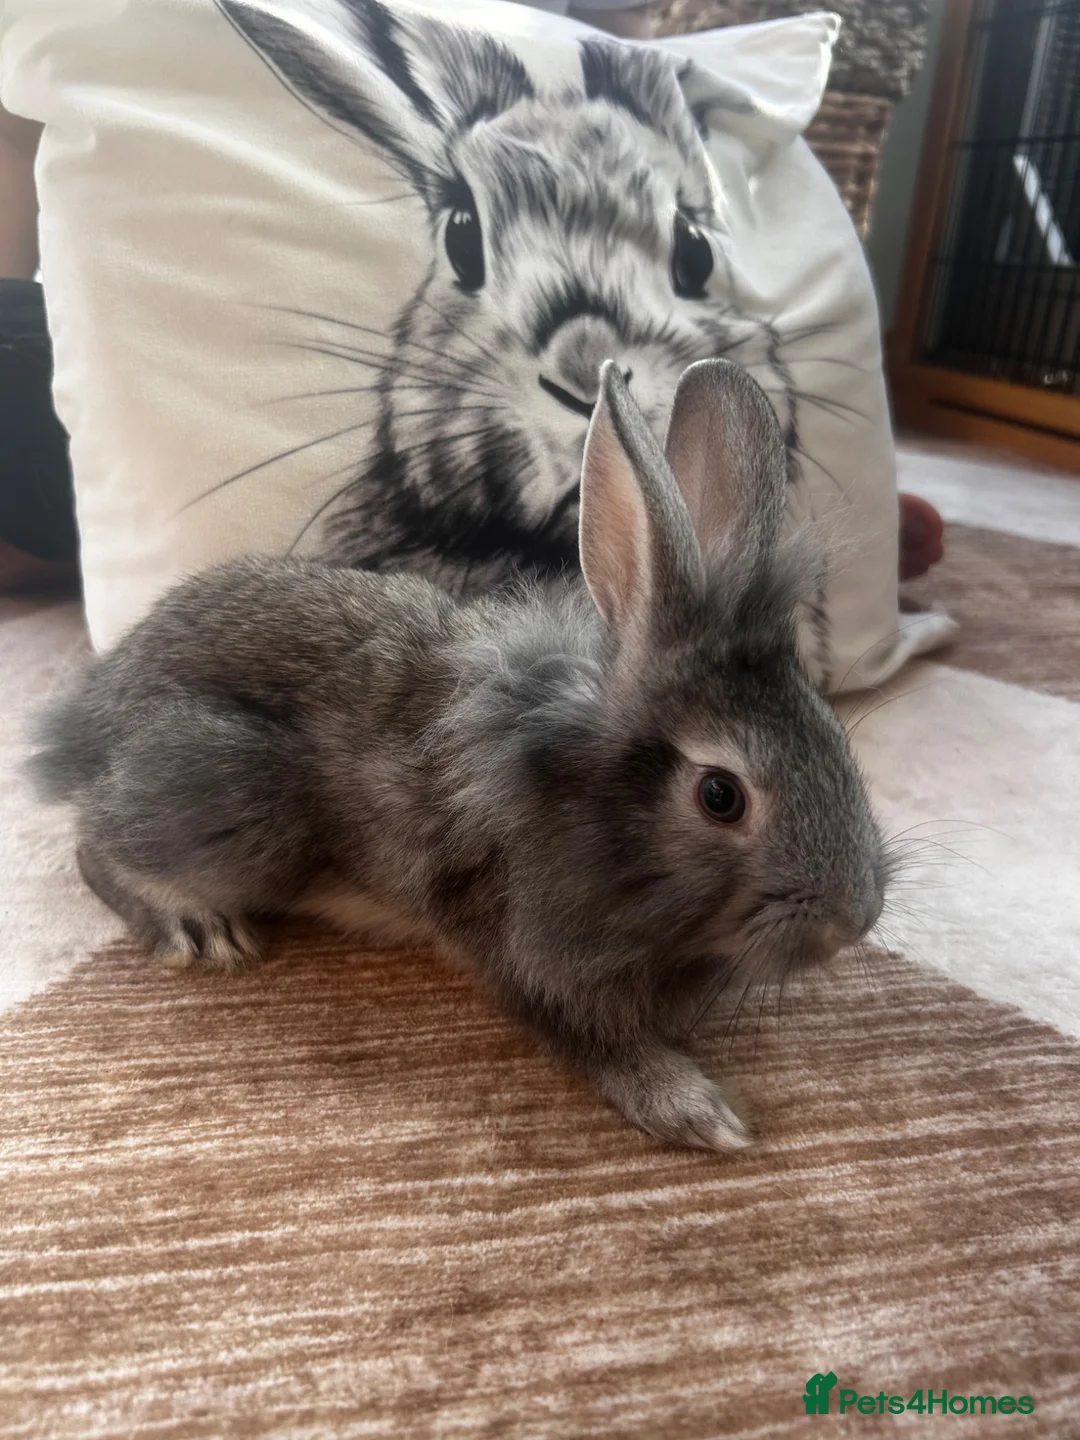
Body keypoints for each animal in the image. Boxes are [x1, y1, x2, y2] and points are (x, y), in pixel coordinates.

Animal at [31, 359, 885, 1151]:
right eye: (720, 796)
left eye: (833, 732)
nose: (857, 919)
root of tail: (87, 720)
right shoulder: (520, 947)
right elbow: (591, 1038)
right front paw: (695, 1109)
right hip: (237, 800)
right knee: (93, 847)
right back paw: (195, 926)